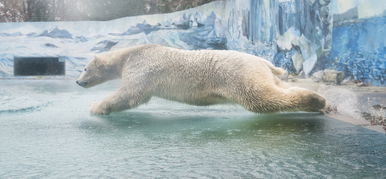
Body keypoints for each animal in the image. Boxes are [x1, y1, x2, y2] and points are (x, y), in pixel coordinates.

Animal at [76, 44, 326, 115]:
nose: (78, 82)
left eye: (84, 68)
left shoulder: (142, 67)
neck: (131, 53)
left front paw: (96, 107)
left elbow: (131, 94)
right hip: (260, 71)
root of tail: (261, 61)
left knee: (260, 98)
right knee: (277, 87)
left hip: (238, 74)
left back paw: (317, 101)